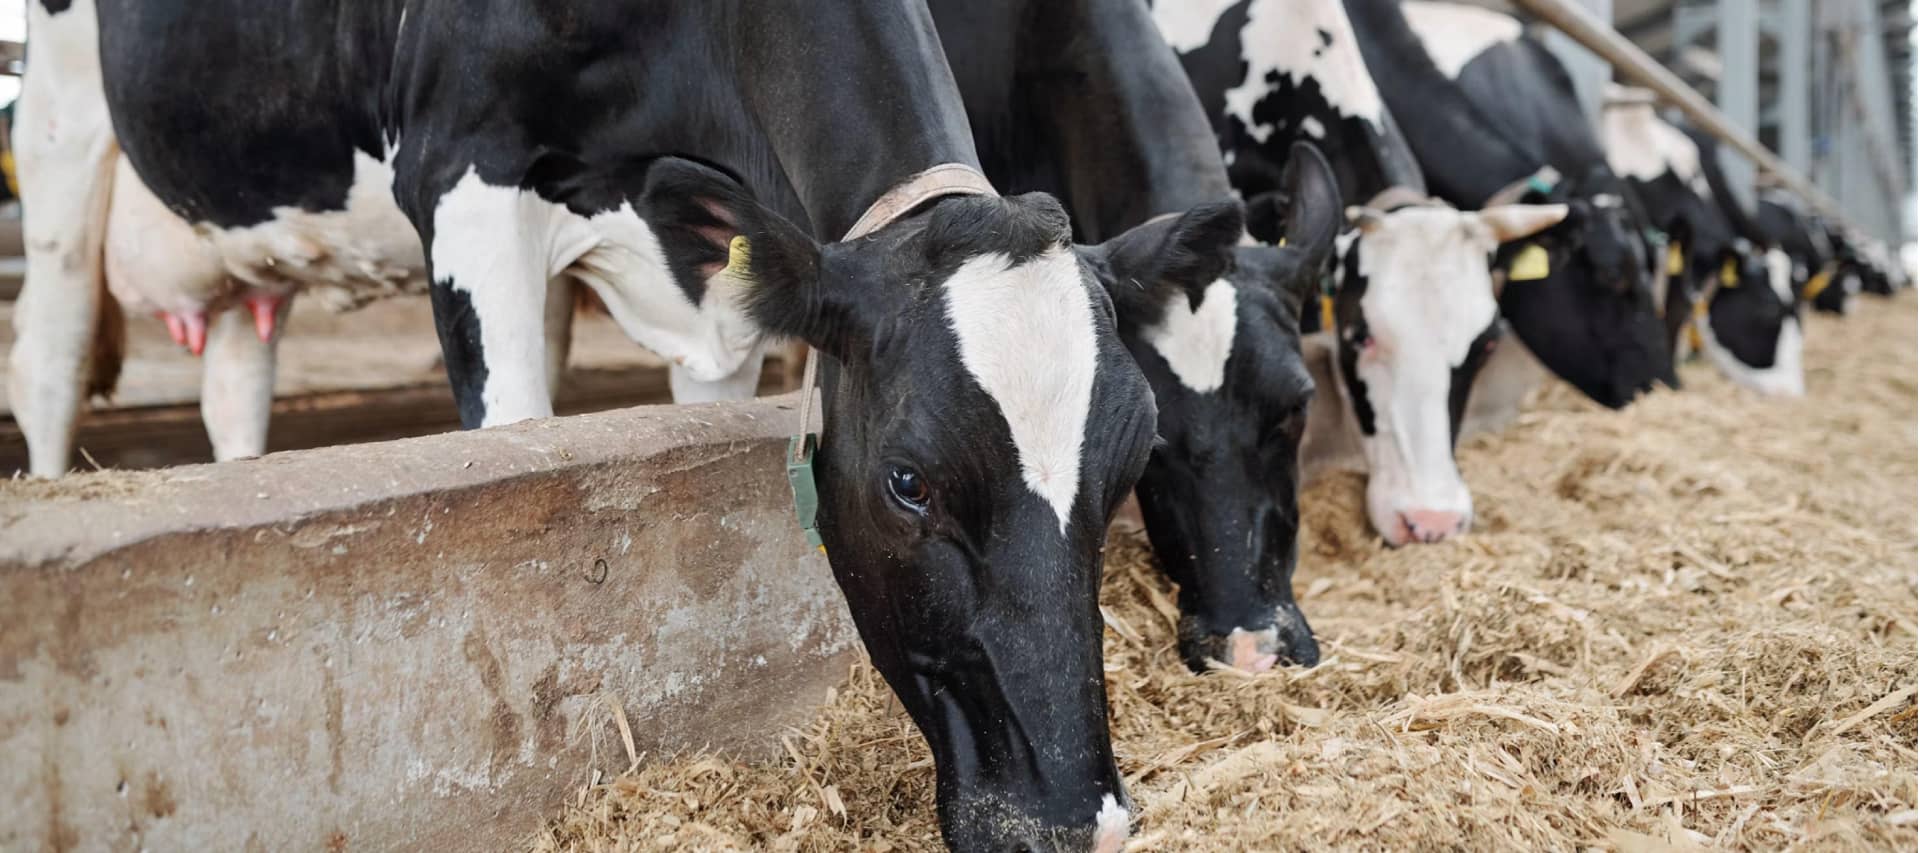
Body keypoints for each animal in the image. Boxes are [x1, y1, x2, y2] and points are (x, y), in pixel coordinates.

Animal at [14, 1, 1252, 847]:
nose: (1080, 823)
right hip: (61, 127)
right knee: (51, 347)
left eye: (1130, 461)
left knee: (234, 377)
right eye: (909, 482)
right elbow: (508, 437)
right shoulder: (461, 165)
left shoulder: (712, 272)